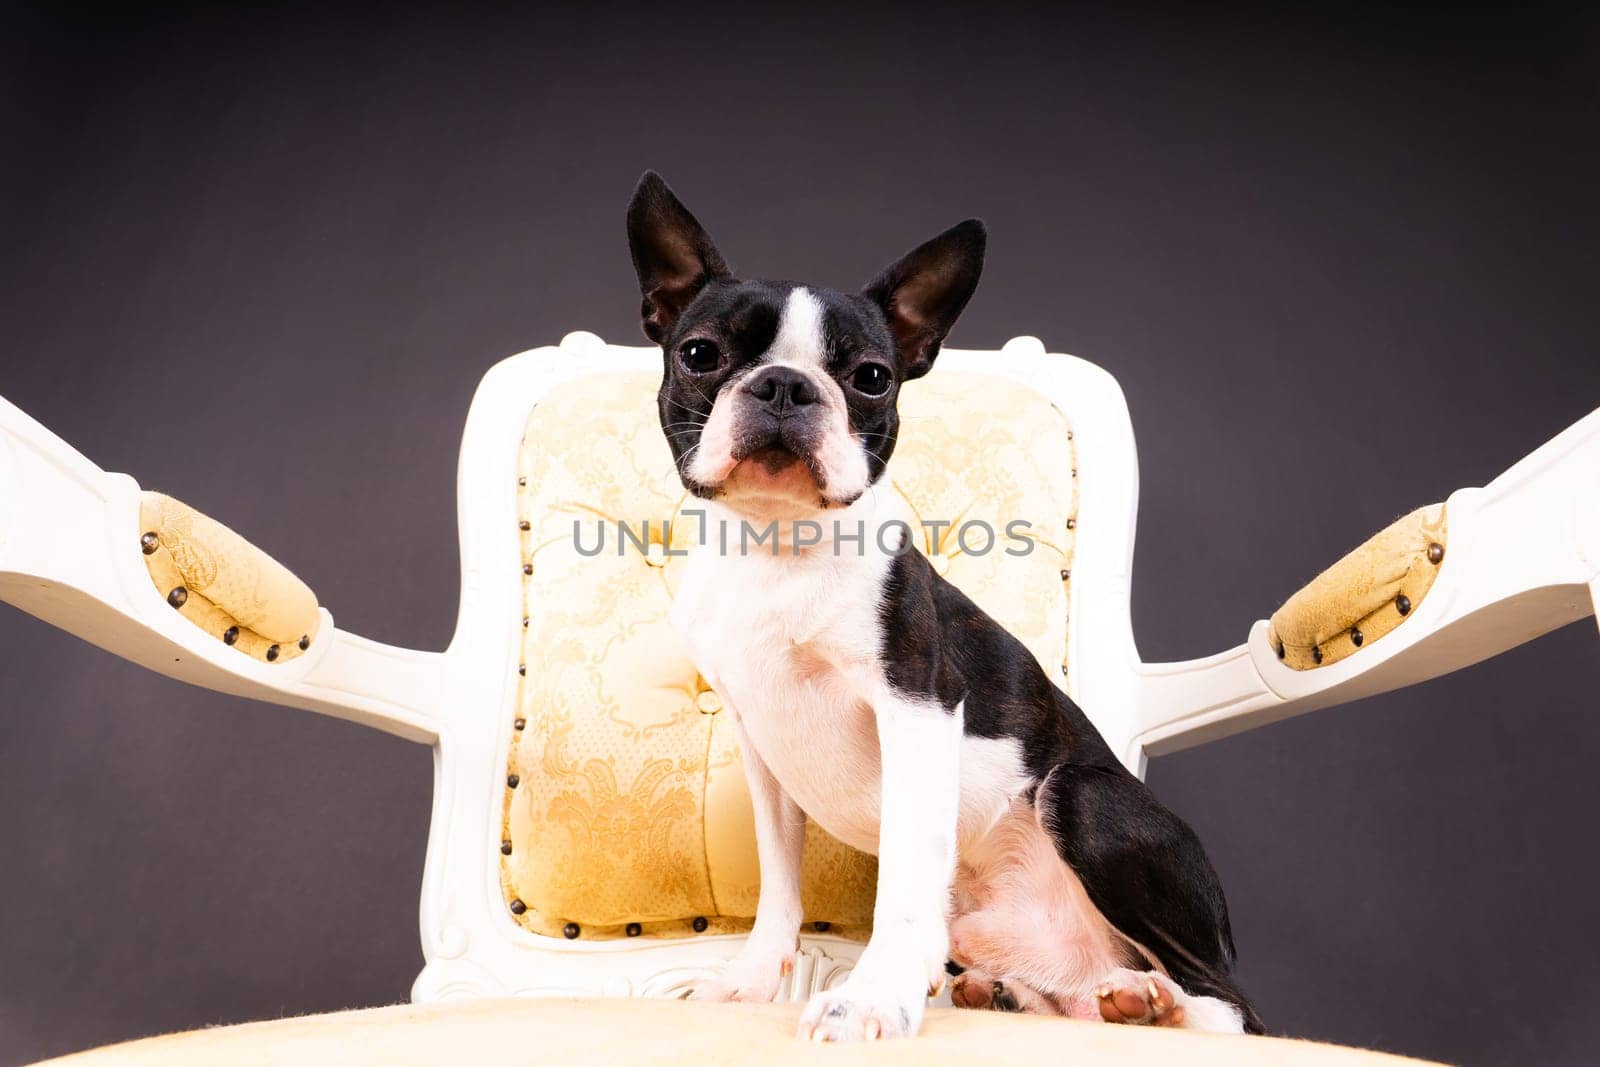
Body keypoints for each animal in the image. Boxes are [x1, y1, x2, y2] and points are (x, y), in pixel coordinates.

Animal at [624, 175, 1260, 1043]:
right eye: (699, 355)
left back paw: (1156, 1003)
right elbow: (779, 884)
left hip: (1084, 796)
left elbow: (903, 882)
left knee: (1229, 1005)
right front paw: (750, 979)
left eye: (870, 377)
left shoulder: (918, 707)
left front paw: (871, 996)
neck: (777, 546)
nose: (786, 384)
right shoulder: (762, 745)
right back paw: (1044, 995)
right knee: (1080, 987)